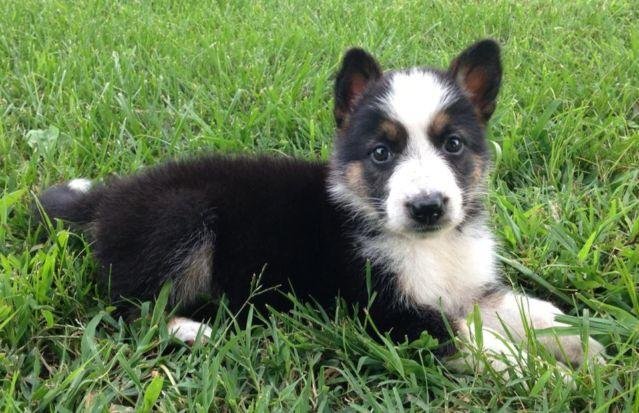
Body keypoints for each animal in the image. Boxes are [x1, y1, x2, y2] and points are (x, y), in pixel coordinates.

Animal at [37, 39, 608, 370]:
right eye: (381, 153)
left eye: (453, 145)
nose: (427, 207)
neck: (428, 244)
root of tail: (110, 196)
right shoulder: (385, 313)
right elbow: (476, 341)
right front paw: (545, 373)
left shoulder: (466, 288)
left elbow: (520, 312)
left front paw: (580, 341)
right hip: (181, 218)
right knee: (128, 309)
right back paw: (192, 330)